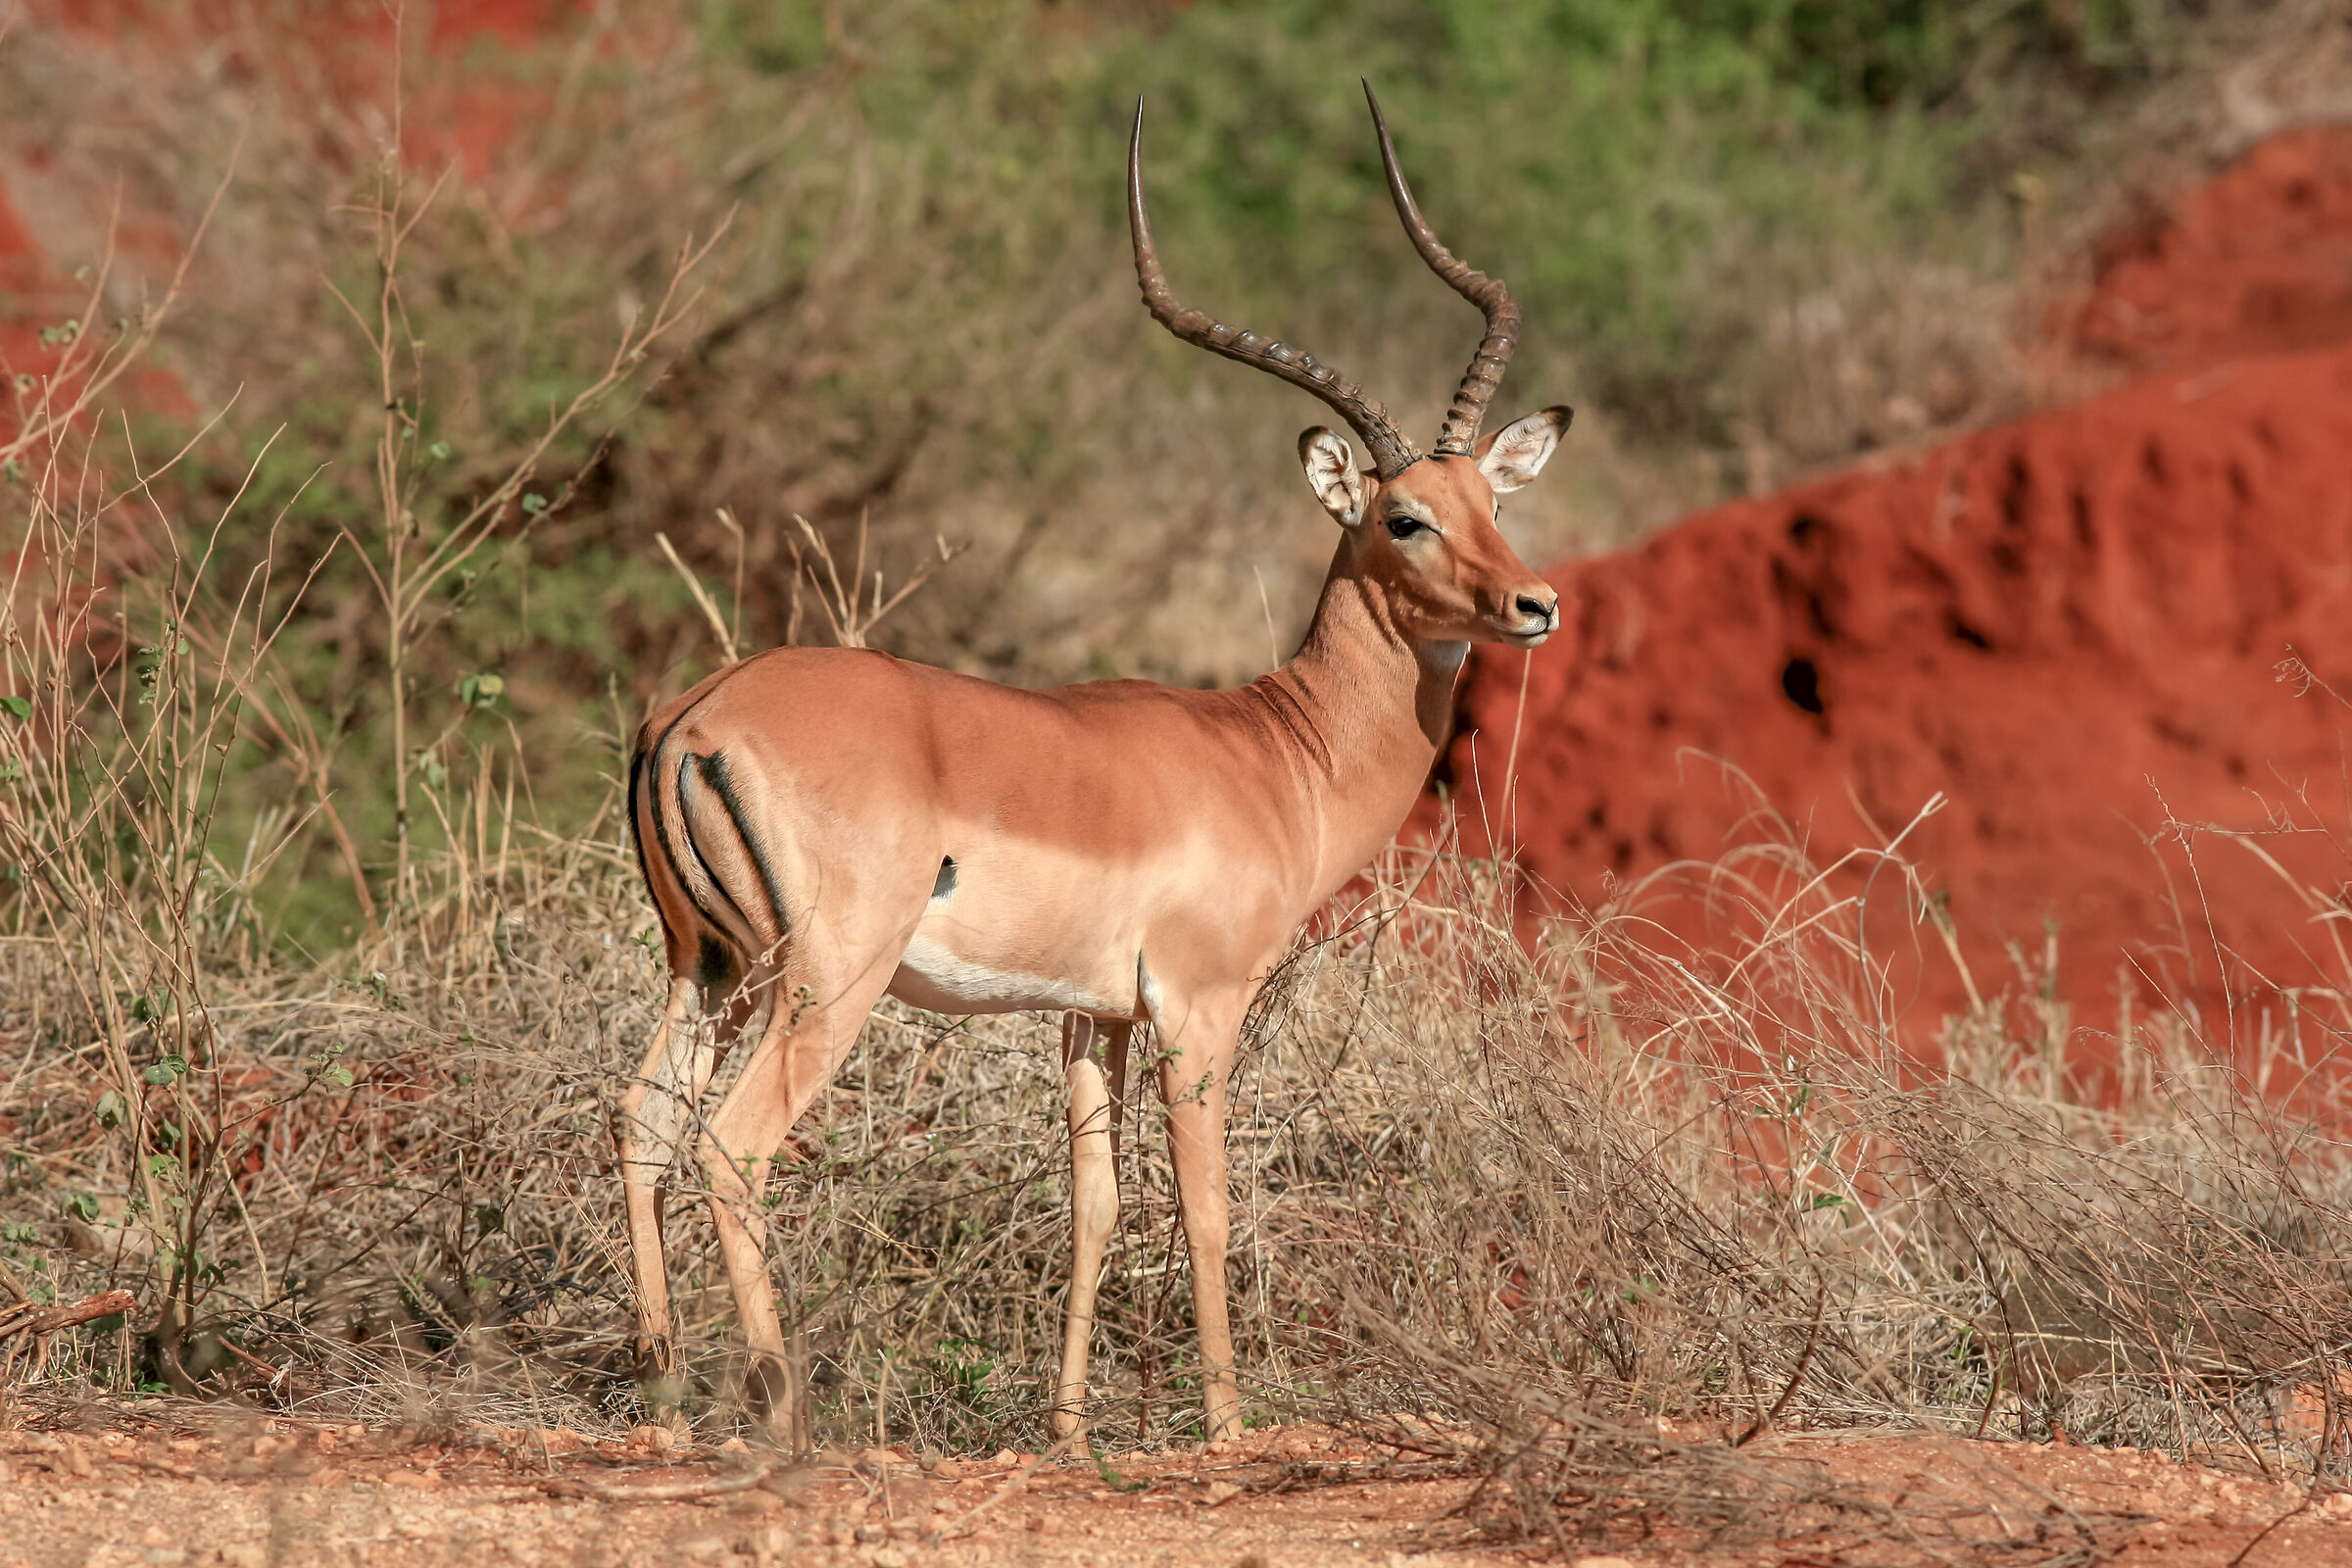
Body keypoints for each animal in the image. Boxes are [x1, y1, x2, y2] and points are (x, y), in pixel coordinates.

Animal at [620, 83, 1571, 1446]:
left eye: (1493, 504)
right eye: (1405, 518)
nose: (1536, 604)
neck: (1277, 751)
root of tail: (696, 716)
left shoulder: (1090, 1017)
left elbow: (1096, 1203)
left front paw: (1067, 1427)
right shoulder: (1197, 1009)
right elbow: (1206, 1207)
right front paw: (1228, 1426)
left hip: (710, 969)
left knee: (643, 1124)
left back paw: (657, 1391)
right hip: (825, 981)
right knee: (730, 1146)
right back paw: (783, 1412)